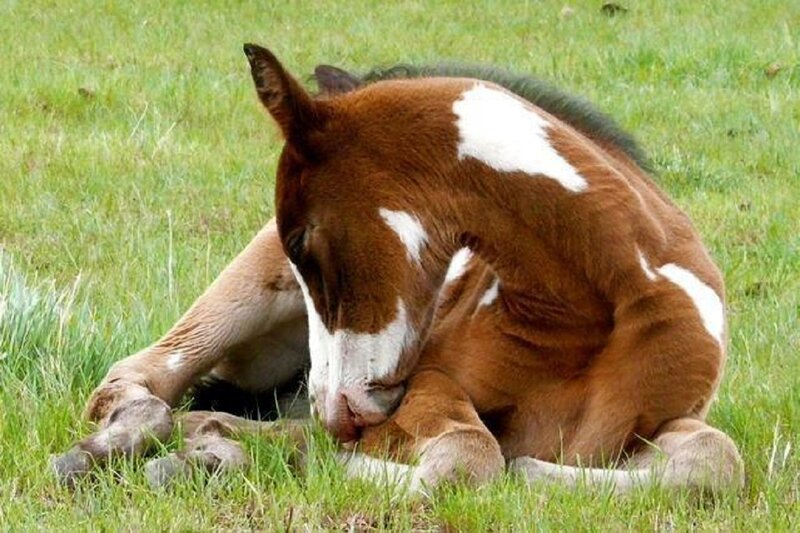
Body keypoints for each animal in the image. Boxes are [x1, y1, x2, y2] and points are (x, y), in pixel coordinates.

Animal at [52, 44, 744, 495]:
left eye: (303, 238)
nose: (335, 406)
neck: (596, 304)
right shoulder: (427, 385)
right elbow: (471, 459)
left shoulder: (662, 423)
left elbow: (716, 463)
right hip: (242, 301)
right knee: (141, 380)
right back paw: (122, 447)